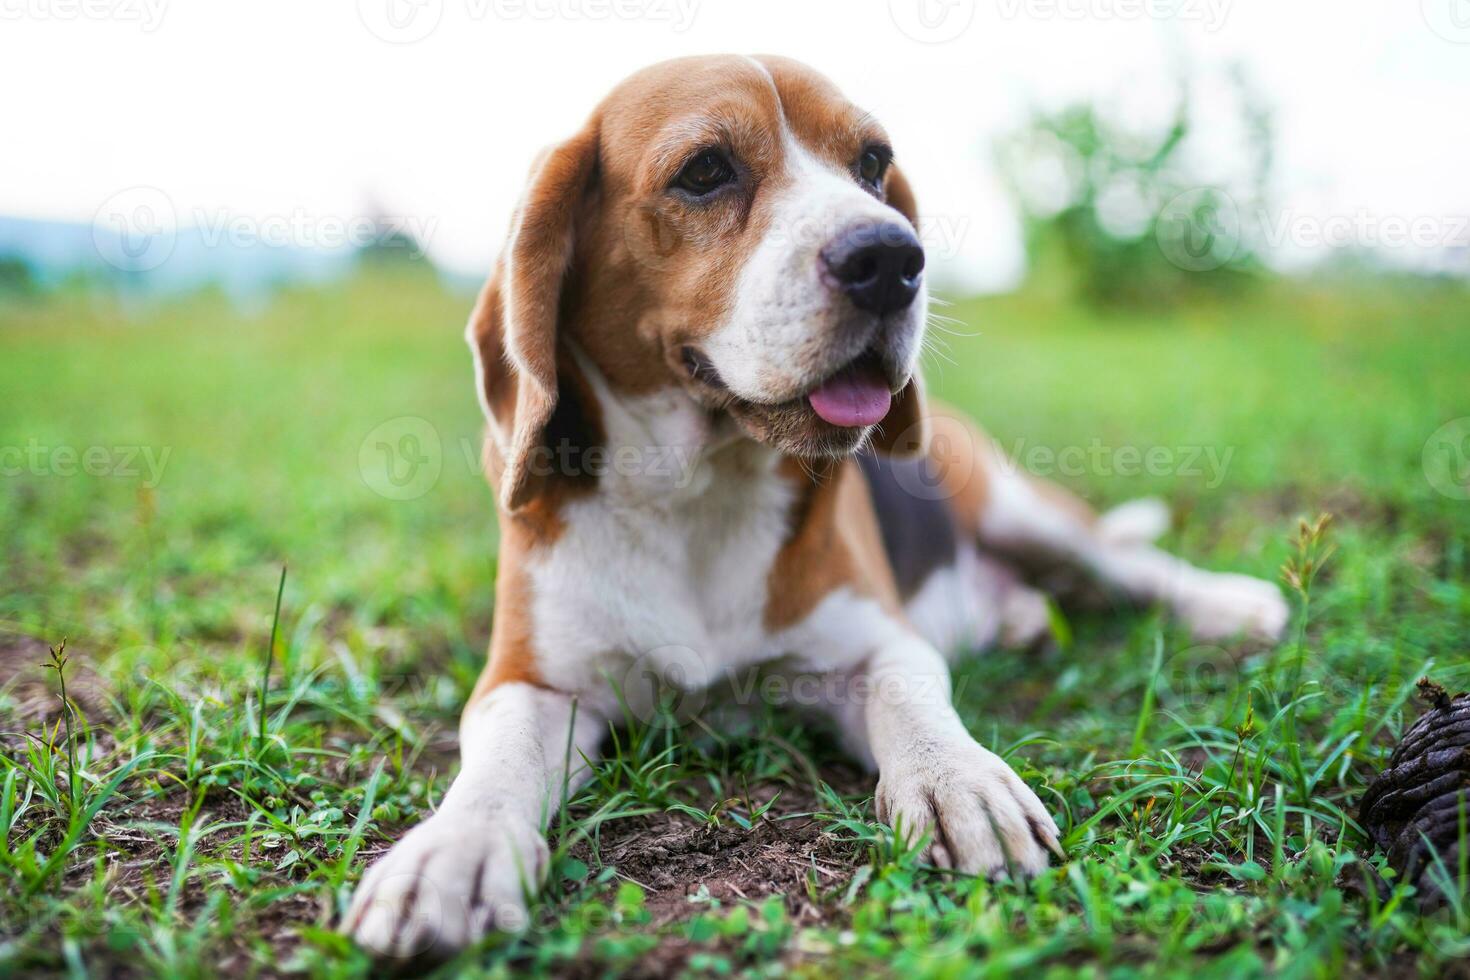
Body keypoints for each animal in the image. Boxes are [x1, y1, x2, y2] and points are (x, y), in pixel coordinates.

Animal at [343, 53, 1287, 957]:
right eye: (705, 170)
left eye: (872, 164)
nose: (893, 260)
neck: (698, 491)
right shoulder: (529, 682)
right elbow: (495, 765)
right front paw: (452, 855)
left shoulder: (872, 643)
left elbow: (912, 698)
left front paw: (961, 780)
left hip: (1022, 509)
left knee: (1128, 564)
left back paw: (1229, 605)